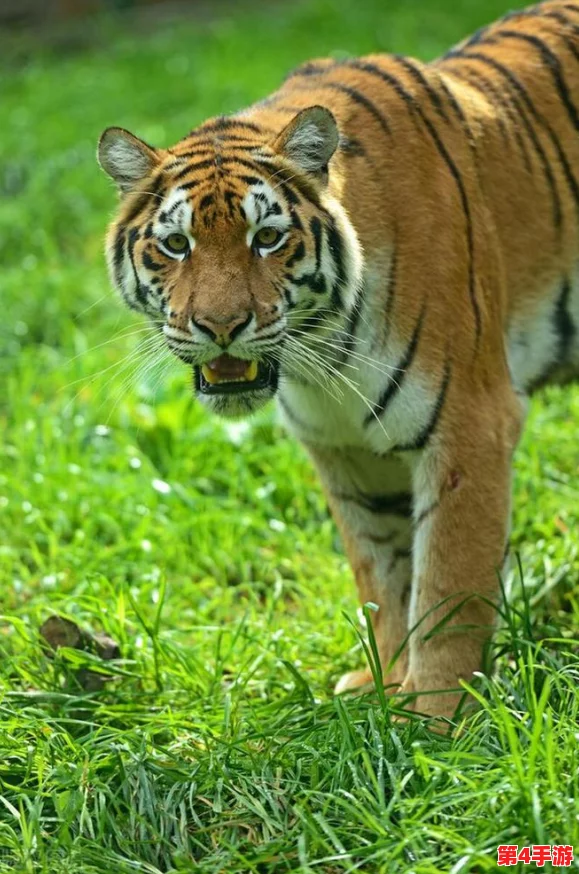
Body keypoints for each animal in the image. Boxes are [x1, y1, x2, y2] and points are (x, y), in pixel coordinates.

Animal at [97, 0, 579, 722]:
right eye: (176, 245)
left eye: (267, 238)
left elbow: (448, 584)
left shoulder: (470, 427)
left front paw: (434, 715)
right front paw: (384, 689)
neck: (324, 355)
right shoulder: (347, 450)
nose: (219, 327)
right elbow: (382, 578)